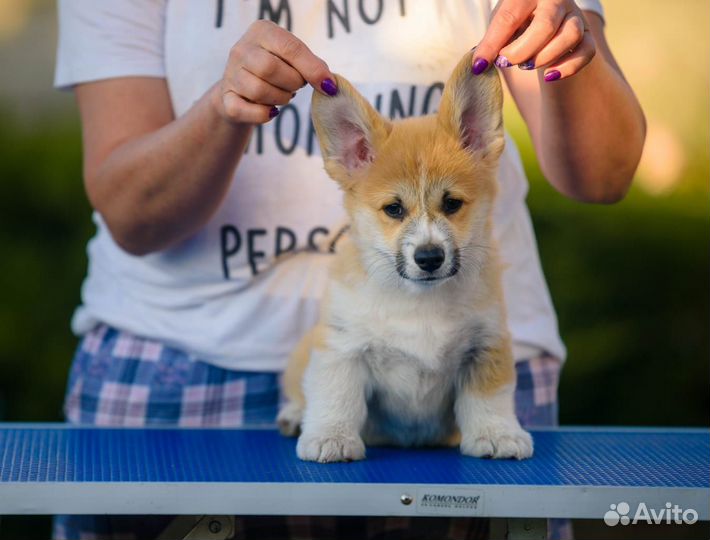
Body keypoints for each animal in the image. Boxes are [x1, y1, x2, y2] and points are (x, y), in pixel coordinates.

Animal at [278, 50, 536, 462]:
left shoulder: (485, 346)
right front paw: (331, 438)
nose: (429, 258)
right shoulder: (342, 347)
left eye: (452, 204)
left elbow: (489, 397)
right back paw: (292, 415)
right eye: (394, 209)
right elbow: (336, 395)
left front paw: (498, 435)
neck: (420, 301)